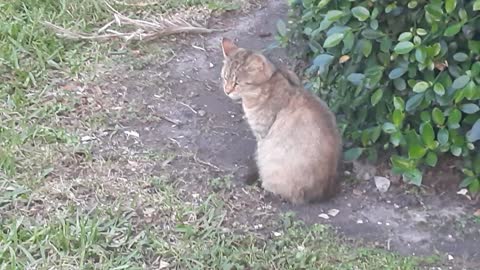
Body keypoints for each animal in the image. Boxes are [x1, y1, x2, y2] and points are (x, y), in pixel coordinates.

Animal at [220, 37, 342, 204]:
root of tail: (322, 192)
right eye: (225, 77)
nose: (227, 91)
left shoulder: (262, 133)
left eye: (238, 83)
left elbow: (259, 154)